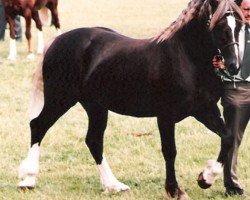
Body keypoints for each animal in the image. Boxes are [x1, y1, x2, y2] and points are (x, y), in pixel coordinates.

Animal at [17, 0, 244, 199]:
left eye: (240, 25)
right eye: (219, 25)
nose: (234, 65)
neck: (186, 58)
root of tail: (57, 41)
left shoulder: (205, 110)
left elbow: (228, 138)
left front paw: (205, 178)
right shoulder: (166, 116)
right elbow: (170, 151)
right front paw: (175, 190)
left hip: (96, 106)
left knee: (93, 140)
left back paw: (114, 185)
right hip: (60, 98)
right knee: (38, 126)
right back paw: (28, 180)